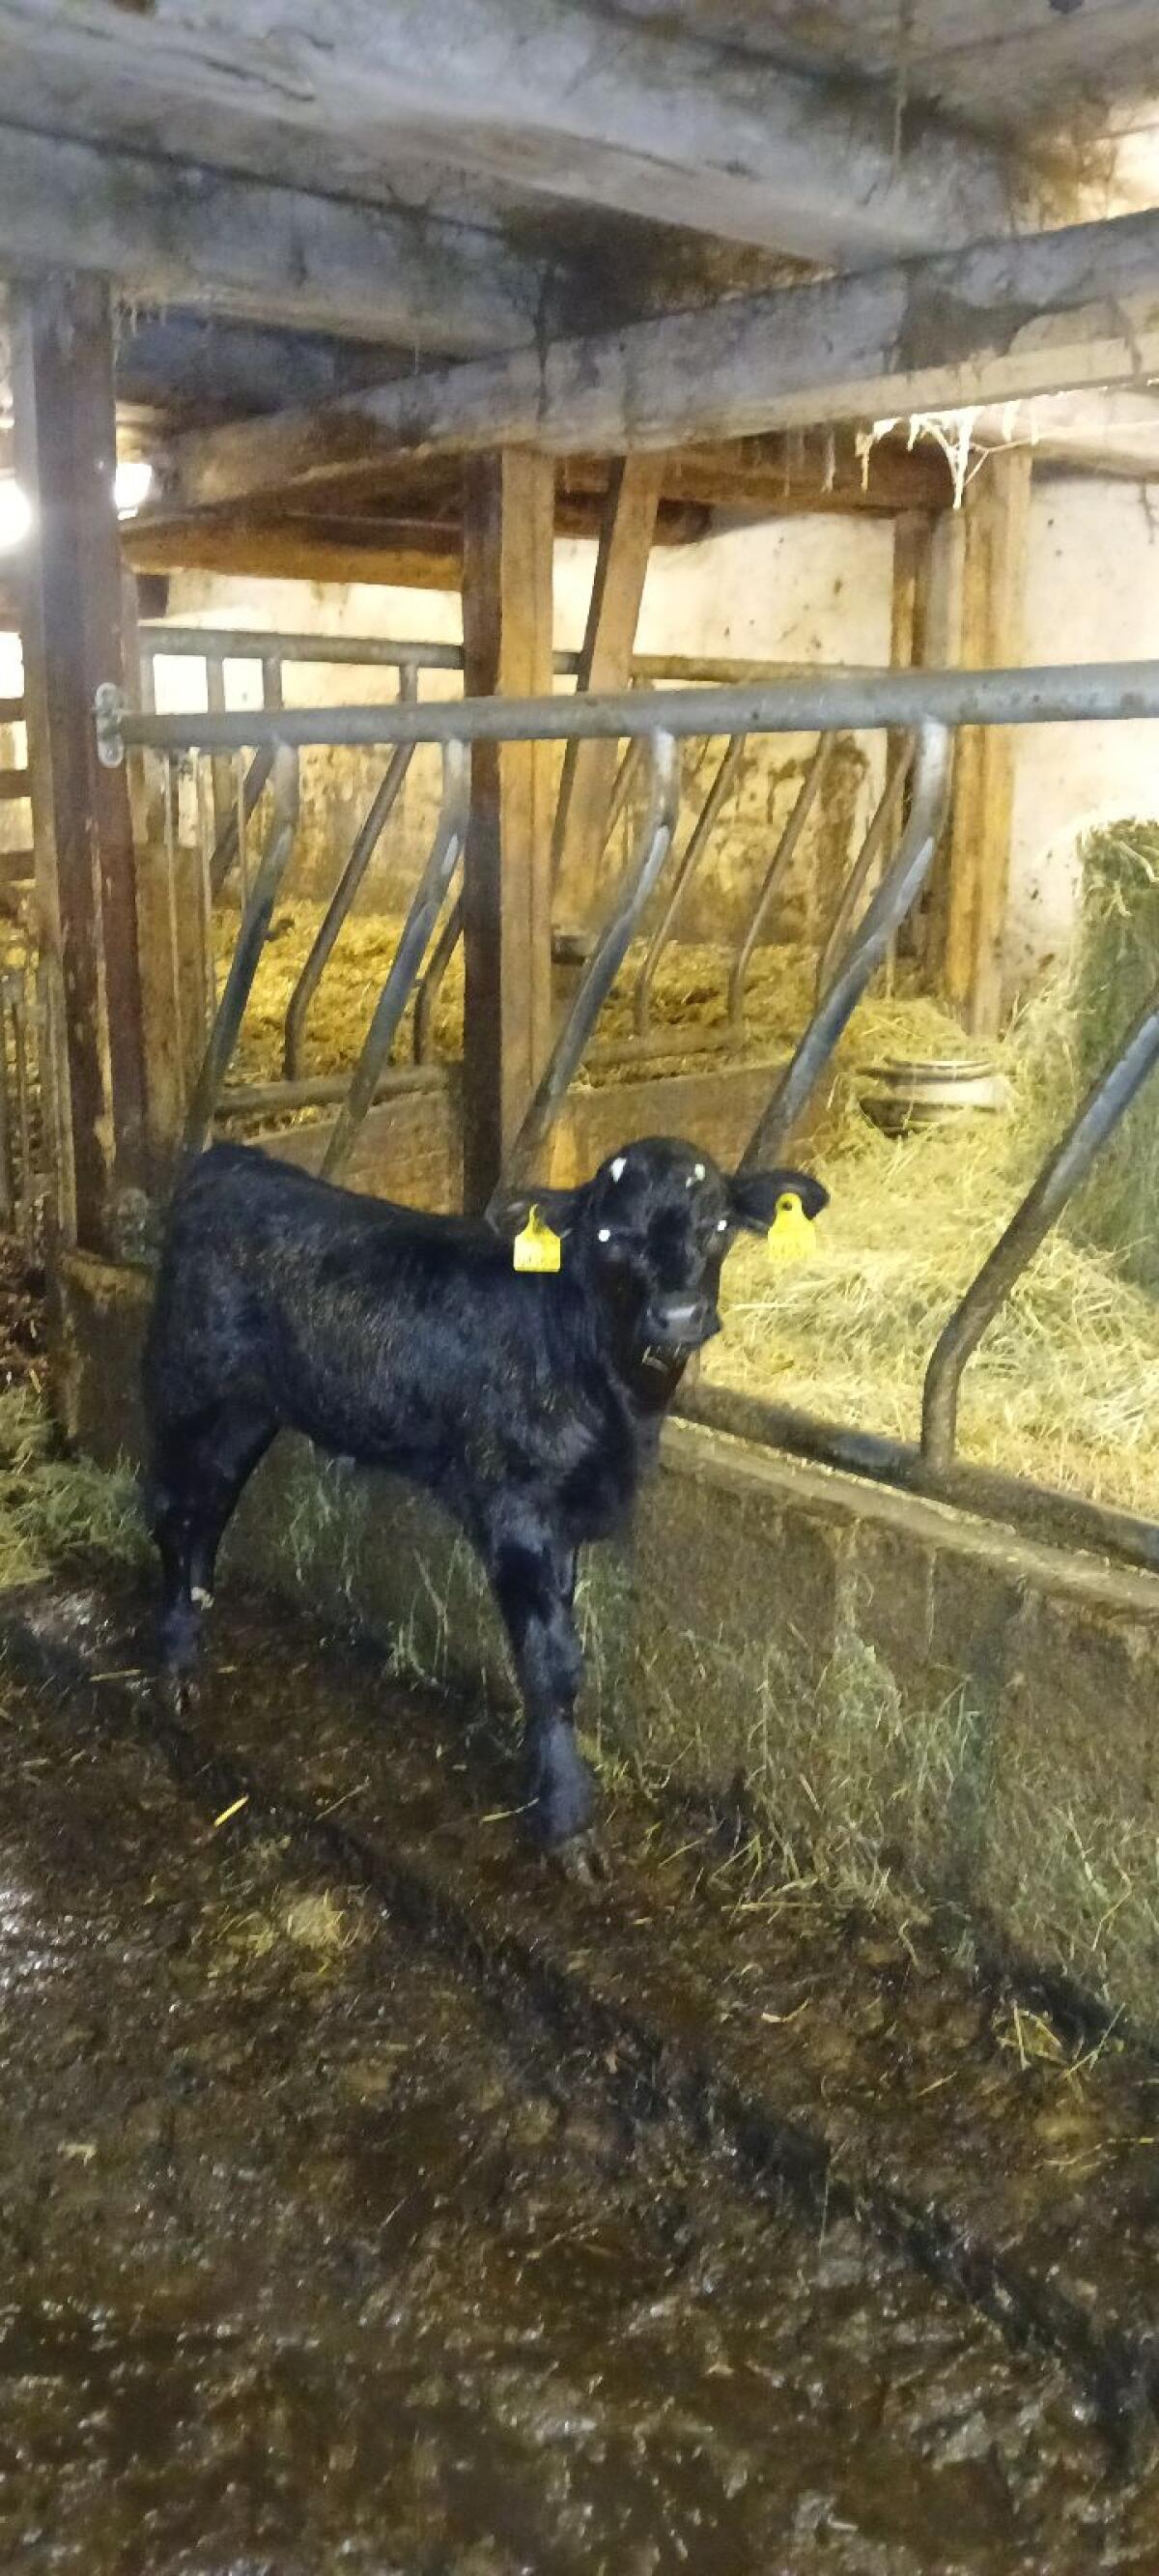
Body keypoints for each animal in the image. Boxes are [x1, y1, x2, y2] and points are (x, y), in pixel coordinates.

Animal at [142, 1137, 827, 1864]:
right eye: (611, 1235)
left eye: (717, 1226)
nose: (676, 1316)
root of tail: (231, 1158)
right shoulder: (516, 1510)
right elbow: (552, 1665)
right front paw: (566, 1819)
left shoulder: (567, 1514)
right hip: (184, 1389)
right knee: (172, 1511)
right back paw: (176, 1663)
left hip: (249, 1409)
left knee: (210, 1505)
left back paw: (198, 1614)